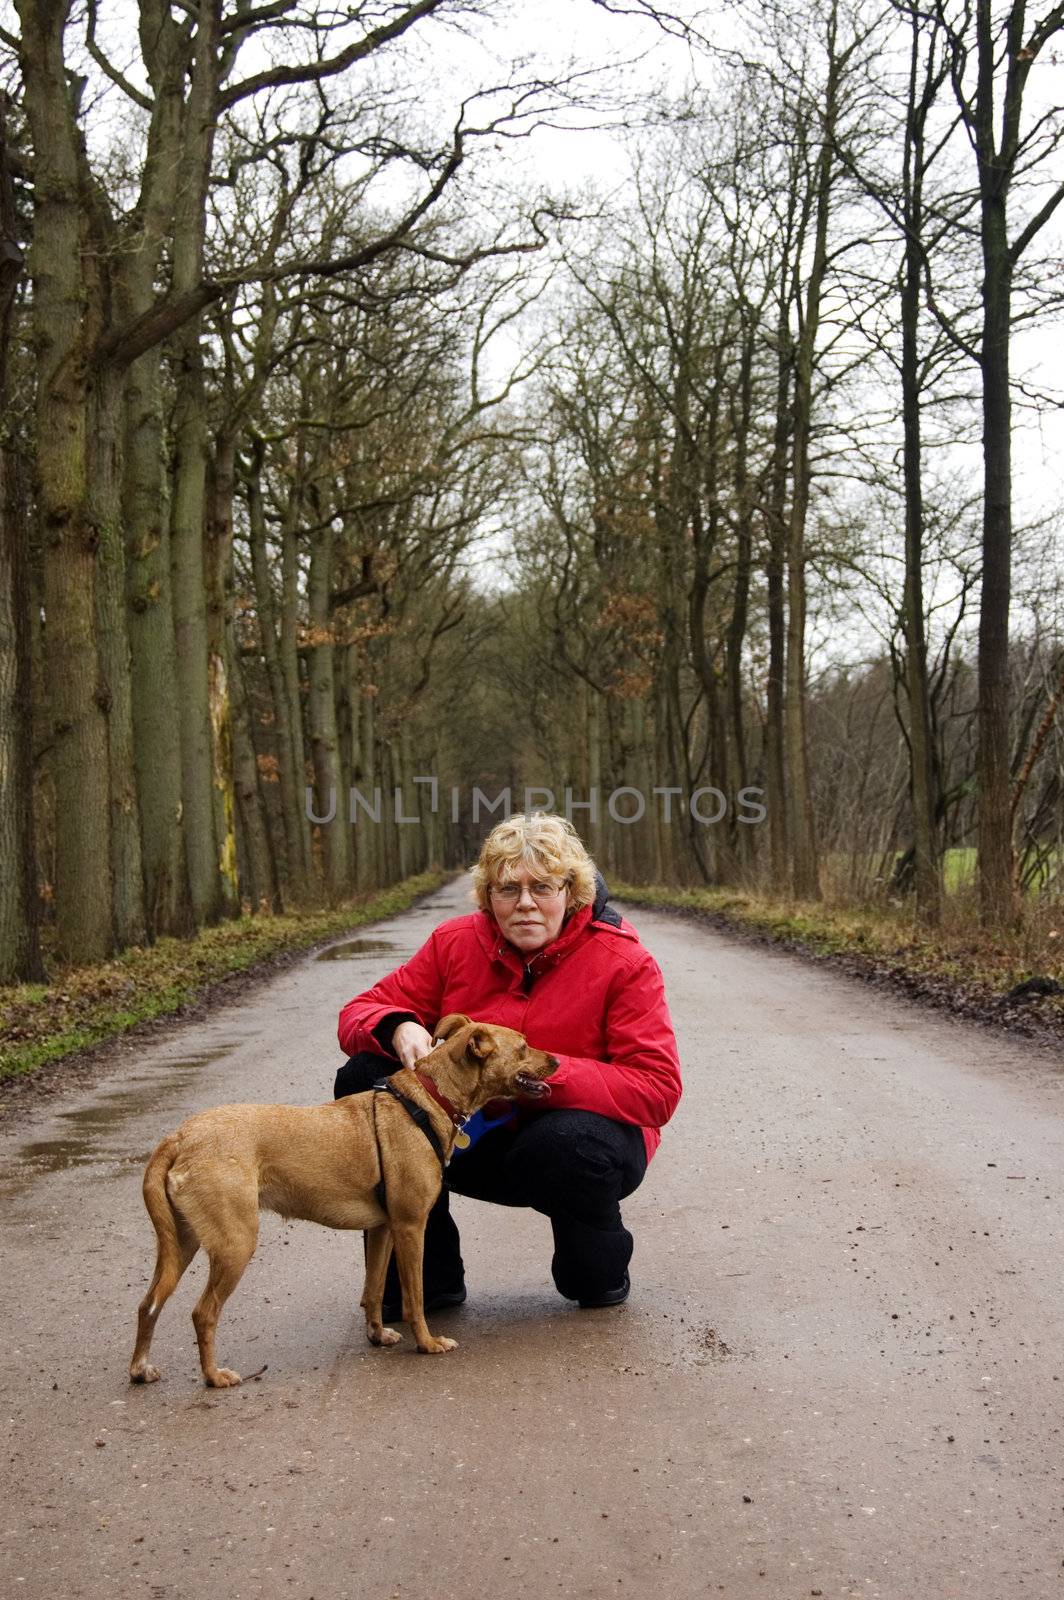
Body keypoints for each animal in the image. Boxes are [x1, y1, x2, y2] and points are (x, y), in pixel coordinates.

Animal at [130, 1017, 556, 1382]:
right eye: (522, 1047)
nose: (556, 1060)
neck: (428, 1098)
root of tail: (179, 1137)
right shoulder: (410, 1227)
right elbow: (414, 1297)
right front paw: (427, 1342)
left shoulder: (383, 1229)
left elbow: (372, 1291)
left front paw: (377, 1335)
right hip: (234, 1244)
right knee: (203, 1313)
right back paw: (214, 1376)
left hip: (182, 1244)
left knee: (148, 1304)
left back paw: (140, 1368)